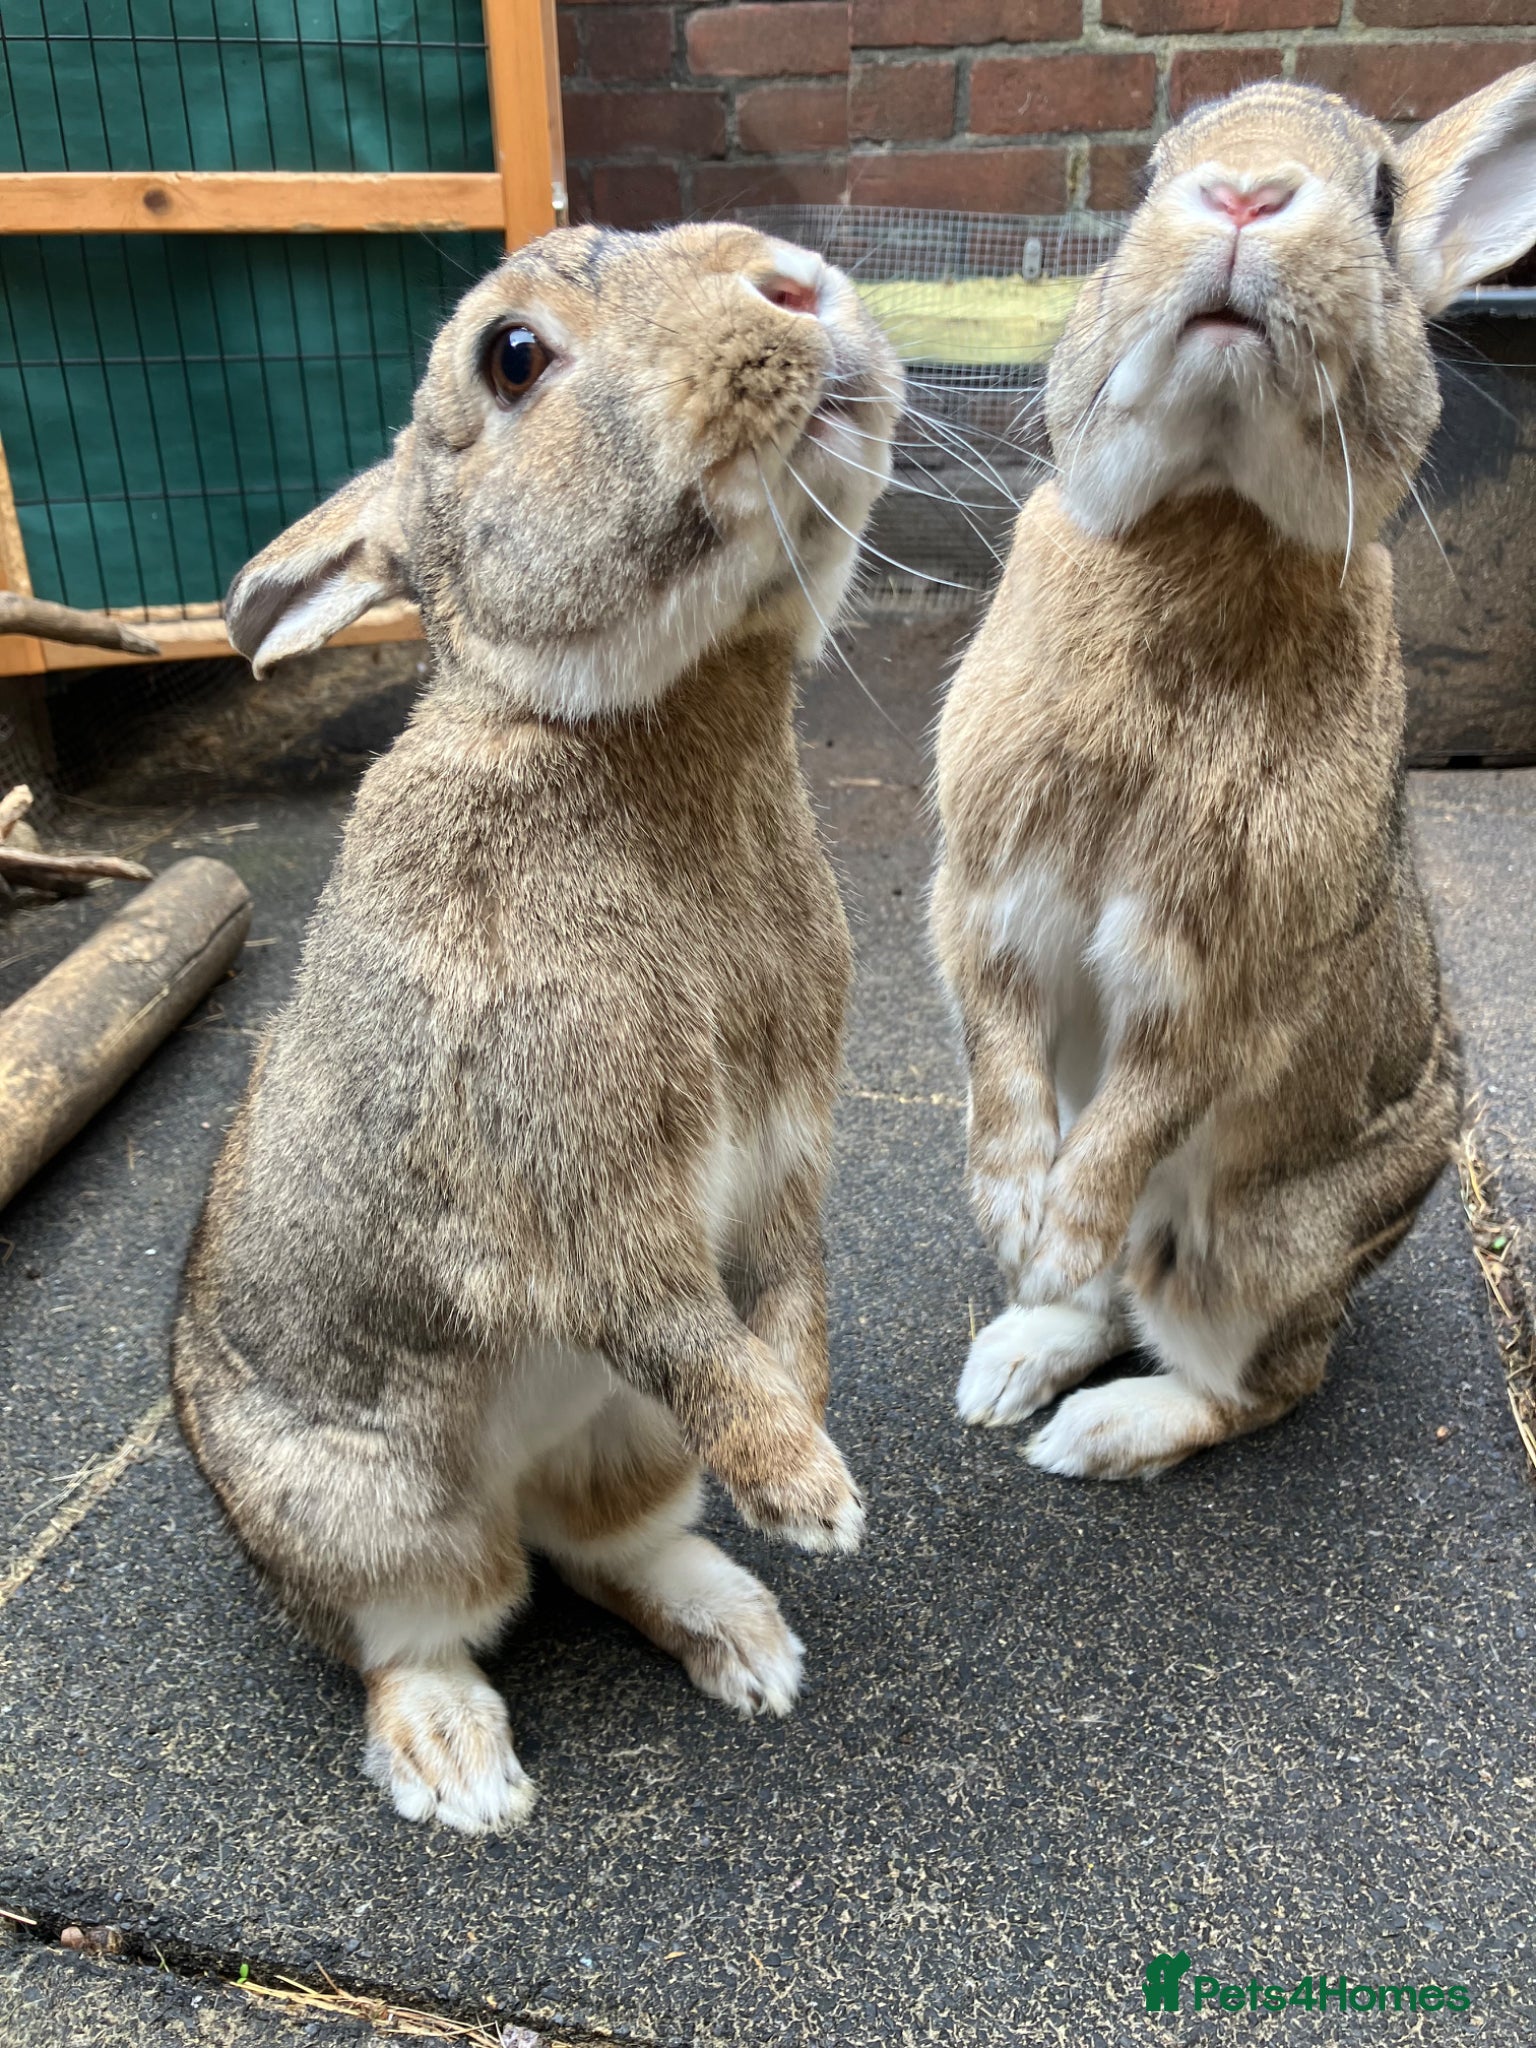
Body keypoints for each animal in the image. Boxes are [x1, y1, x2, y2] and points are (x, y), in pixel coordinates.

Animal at [172, 222, 902, 1832]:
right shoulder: (578, 1176)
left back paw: (749, 1643)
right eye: (511, 358)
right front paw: (812, 1495)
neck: (652, 719)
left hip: (620, 1439)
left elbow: (788, 1291)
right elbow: (674, 1315)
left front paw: (811, 1442)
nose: (800, 283)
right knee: (430, 1622)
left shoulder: (787, 1153)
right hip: (372, 1508)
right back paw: (466, 1773)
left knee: (599, 1546)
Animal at [931, 68, 1536, 1480]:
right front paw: (1012, 1216)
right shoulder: (989, 895)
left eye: (1382, 198)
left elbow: (1145, 1101)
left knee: (1254, 1380)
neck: (1207, 504)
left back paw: (1091, 1429)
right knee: (1111, 1306)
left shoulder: (1219, 974)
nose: (1248, 196)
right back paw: (1010, 1360)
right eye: (1148, 177)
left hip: (1253, 1245)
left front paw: (1050, 1224)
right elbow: (1000, 1048)